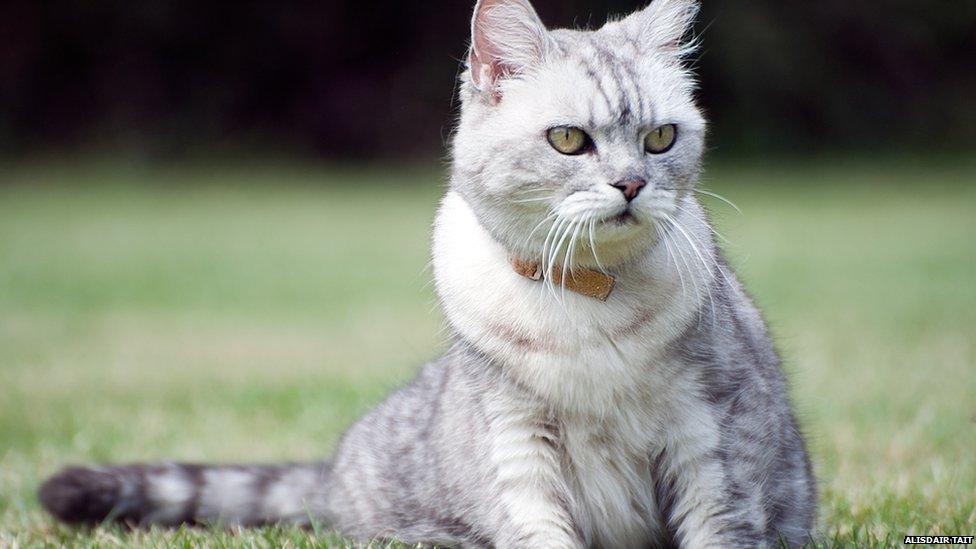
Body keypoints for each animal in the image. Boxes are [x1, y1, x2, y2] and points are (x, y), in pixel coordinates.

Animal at [38, 0, 816, 544]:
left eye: (660, 137)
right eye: (569, 139)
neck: (583, 295)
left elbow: (721, 526)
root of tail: (331, 471)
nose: (631, 184)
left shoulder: (710, 436)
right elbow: (538, 528)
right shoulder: (517, 442)